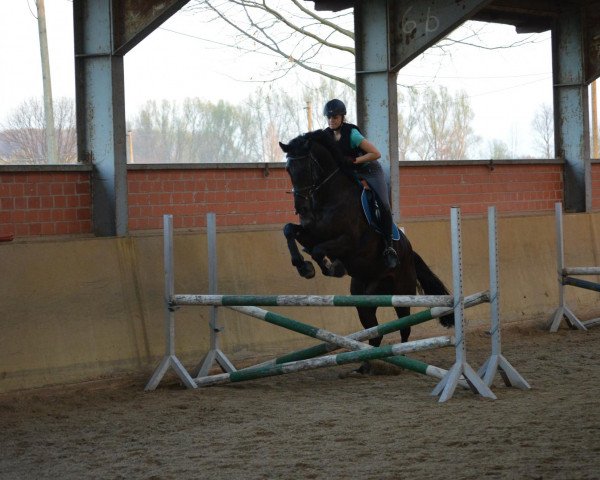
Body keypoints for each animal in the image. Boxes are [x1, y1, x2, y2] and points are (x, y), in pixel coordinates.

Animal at [278, 129, 452, 370]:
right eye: (288, 169)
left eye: (308, 167)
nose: (300, 208)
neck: (328, 198)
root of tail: (409, 251)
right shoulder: (310, 233)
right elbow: (289, 231)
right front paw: (304, 267)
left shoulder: (349, 241)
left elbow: (319, 250)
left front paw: (330, 268)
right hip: (363, 299)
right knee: (375, 333)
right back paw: (365, 366)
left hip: (401, 292)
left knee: (404, 328)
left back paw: (401, 359)